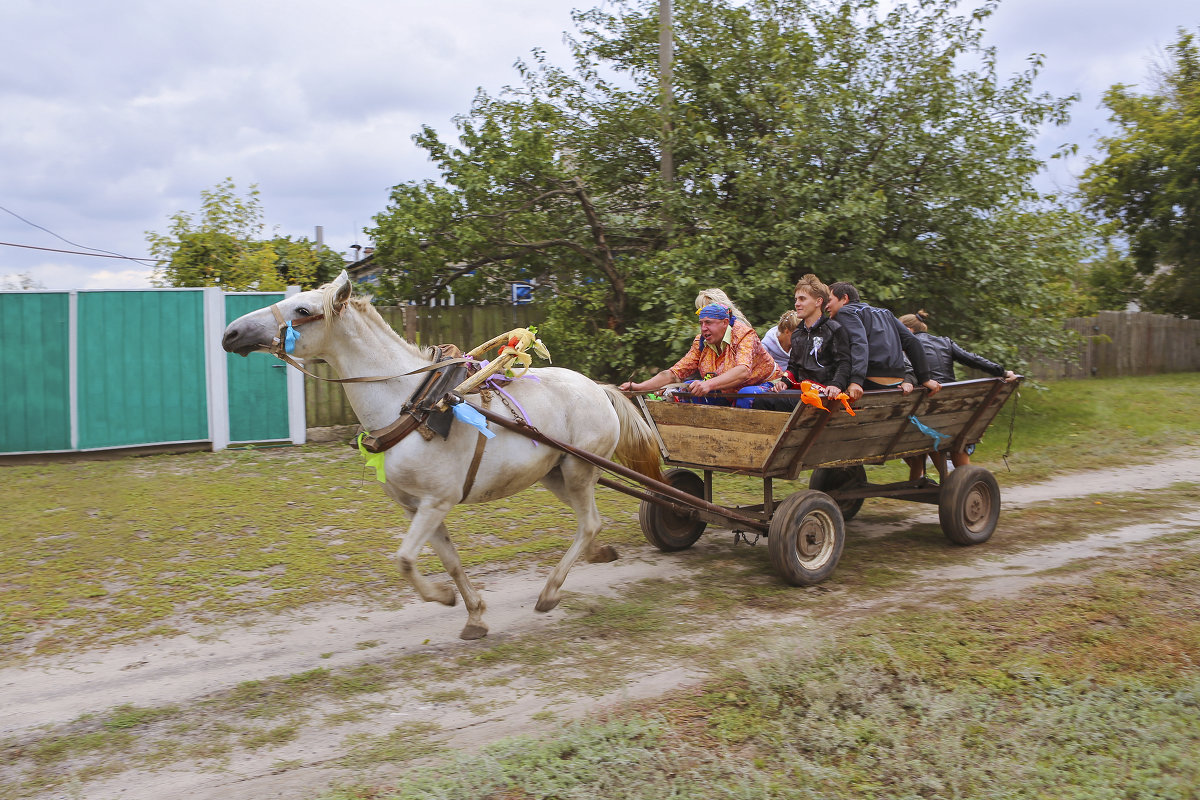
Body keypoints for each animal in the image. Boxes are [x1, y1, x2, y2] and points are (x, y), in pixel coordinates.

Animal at [220, 272, 662, 642]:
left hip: (578, 469)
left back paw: (551, 591)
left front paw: (444, 597)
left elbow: (404, 560)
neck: (414, 403)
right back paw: (597, 554)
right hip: (555, 475)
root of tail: (598, 388)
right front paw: (474, 613)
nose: (231, 332)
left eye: (303, 310)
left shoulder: (436, 502)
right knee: (591, 523)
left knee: (589, 523)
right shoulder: (416, 507)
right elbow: (447, 560)